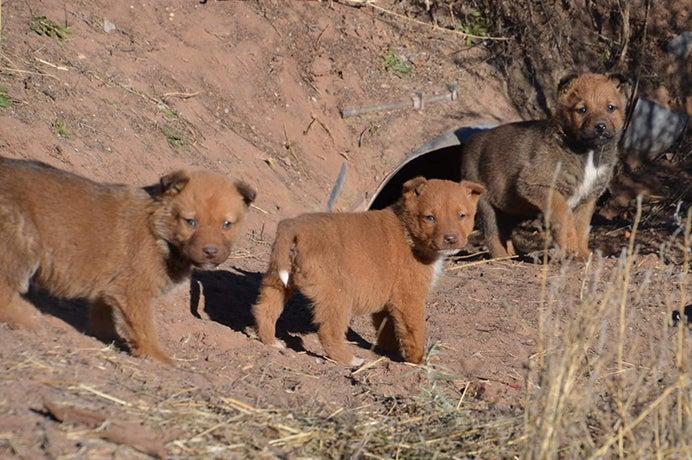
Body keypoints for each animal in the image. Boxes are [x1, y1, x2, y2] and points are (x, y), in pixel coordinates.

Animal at [0, 158, 255, 362]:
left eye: (227, 225)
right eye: (190, 222)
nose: (211, 251)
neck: (158, 232)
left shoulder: (109, 289)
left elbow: (103, 315)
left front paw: (105, 337)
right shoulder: (134, 293)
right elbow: (145, 329)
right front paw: (159, 358)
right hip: (22, 245)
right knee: (5, 292)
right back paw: (28, 318)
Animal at [251, 176, 484, 366]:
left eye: (462, 215)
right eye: (430, 218)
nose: (451, 238)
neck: (409, 234)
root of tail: (294, 226)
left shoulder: (387, 300)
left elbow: (387, 330)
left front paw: (389, 352)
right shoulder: (409, 298)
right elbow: (414, 331)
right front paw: (419, 361)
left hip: (278, 281)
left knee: (264, 310)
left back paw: (272, 343)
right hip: (338, 296)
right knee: (328, 332)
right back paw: (351, 360)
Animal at [462, 72, 628, 258]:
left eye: (611, 108)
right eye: (582, 110)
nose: (600, 127)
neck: (588, 154)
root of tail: (470, 141)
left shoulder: (587, 199)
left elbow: (582, 228)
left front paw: (583, 254)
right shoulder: (537, 185)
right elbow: (564, 214)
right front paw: (570, 246)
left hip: (510, 207)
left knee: (505, 233)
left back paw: (513, 254)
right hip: (485, 204)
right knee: (492, 235)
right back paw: (502, 257)